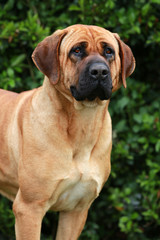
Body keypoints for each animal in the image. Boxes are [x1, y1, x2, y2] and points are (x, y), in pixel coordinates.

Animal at [0, 24, 135, 240]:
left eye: (109, 51)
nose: (99, 71)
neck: (82, 125)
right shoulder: (29, 208)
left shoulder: (77, 210)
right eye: (77, 50)